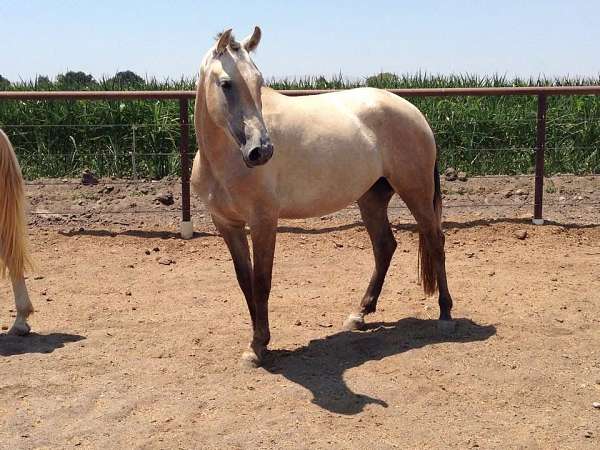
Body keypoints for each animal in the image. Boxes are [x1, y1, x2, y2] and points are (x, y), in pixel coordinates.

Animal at [193, 27, 454, 366]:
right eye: (226, 84)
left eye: (259, 82)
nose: (261, 150)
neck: (224, 159)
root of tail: (414, 112)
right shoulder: (227, 224)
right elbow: (245, 281)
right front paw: (257, 343)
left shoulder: (264, 221)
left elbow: (262, 282)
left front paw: (259, 346)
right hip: (371, 199)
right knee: (385, 246)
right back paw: (360, 314)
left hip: (416, 192)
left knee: (435, 241)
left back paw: (445, 314)